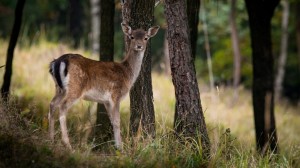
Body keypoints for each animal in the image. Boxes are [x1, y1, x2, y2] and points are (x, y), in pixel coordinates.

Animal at [48, 22, 159, 150]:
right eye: (132, 37)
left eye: (146, 38)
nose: (139, 46)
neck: (127, 73)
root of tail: (58, 62)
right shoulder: (116, 95)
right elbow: (117, 121)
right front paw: (120, 148)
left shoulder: (106, 101)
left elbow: (112, 120)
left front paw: (116, 145)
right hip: (75, 87)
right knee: (62, 106)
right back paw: (68, 144)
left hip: (59, 88)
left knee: (52, 104)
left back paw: (50, 139)